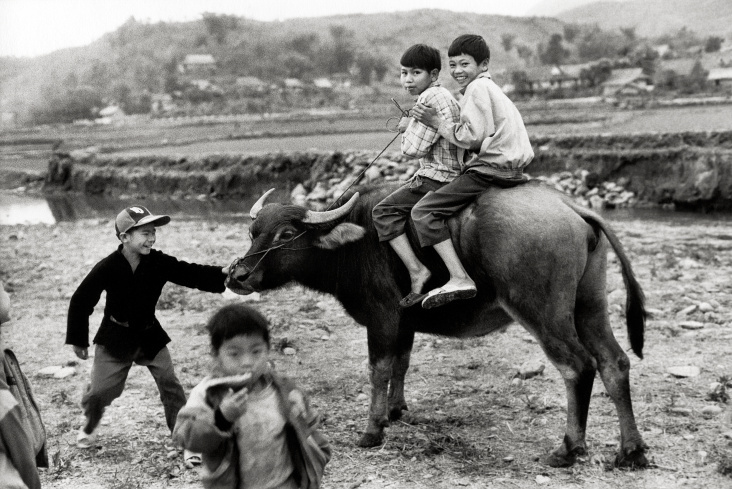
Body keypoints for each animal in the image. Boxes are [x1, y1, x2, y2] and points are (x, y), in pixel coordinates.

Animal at [227, 181, 648, 468]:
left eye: (286, 234)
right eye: (253, 232)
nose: (238, 276)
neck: (357, 244)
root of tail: (568, 206)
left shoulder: (382, 317)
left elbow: (379, 369)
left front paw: (372, 430)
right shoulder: (406, 321)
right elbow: (402, 362)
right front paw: (395, 410)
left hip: (542, 311)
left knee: (577, 367)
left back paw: (569, 448)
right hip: (590, 306)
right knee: (614, 362)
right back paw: (631, 450)